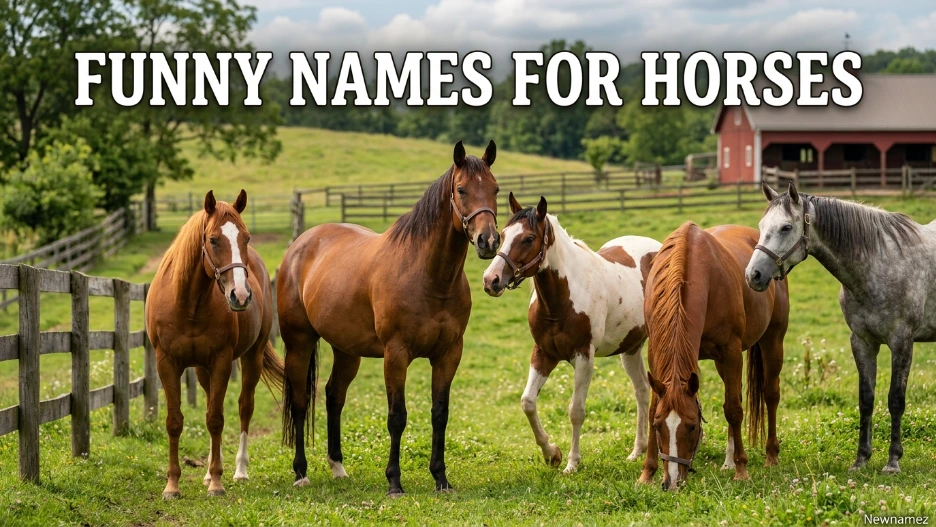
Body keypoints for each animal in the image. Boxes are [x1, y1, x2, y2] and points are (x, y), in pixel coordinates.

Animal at [146, 190, 285, 499]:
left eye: (246, 237)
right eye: (212, 239)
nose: (240, 295)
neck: (189, 303)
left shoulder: (222, 361)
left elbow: (216, 419)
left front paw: (218, 483)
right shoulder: (166, 362)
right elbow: (175, 421)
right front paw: (172, 485)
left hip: (252, 356)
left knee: (245, 406)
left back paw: (239, 470)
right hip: (201, 369)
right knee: (212, 402)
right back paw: (209, 472)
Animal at [277, 141, 500, 495]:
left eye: (495, 189)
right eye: (462, 189)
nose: (488, 241)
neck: (428, 275)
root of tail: (299, 245)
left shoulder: (449, 354)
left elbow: (440, 414)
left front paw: (441, 478)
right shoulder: (396, 355)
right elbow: (397, 416)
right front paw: (394, 481)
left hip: (346, 351)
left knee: (333, 396)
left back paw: (338, 467)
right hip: (299, 344)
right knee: (300, 402)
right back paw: (301, 472)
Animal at [481, 194, 659, 473]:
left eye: (528, 238)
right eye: (504, 233)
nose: (491, 280)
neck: (562, 300)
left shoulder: (584, 357)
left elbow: (576, 410)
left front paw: (572, 462)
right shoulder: (543, 354)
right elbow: (527, 402)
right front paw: (551, 453)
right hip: (630, 349)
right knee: (642, 390)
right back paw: (637, 450)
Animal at [638, 221, 789, 491]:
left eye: (692, 426)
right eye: (658, 426)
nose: (672, 482)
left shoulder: (731, 352)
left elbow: (734, 410)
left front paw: (742, 470)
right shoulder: (656, 354)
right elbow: (653, 407)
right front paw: (647, 473)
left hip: (772, 341)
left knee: (770, 395)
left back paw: (771, 456)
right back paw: (728, 462)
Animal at [747, 181, 931, 474]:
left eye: (786, 227)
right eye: (762, 225)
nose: (753, 275)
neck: (880, 263)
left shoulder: (902, 342)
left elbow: (895, 399)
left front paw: (892, 461)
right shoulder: (862, 342)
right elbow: (866, 399)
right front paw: (861, 459)